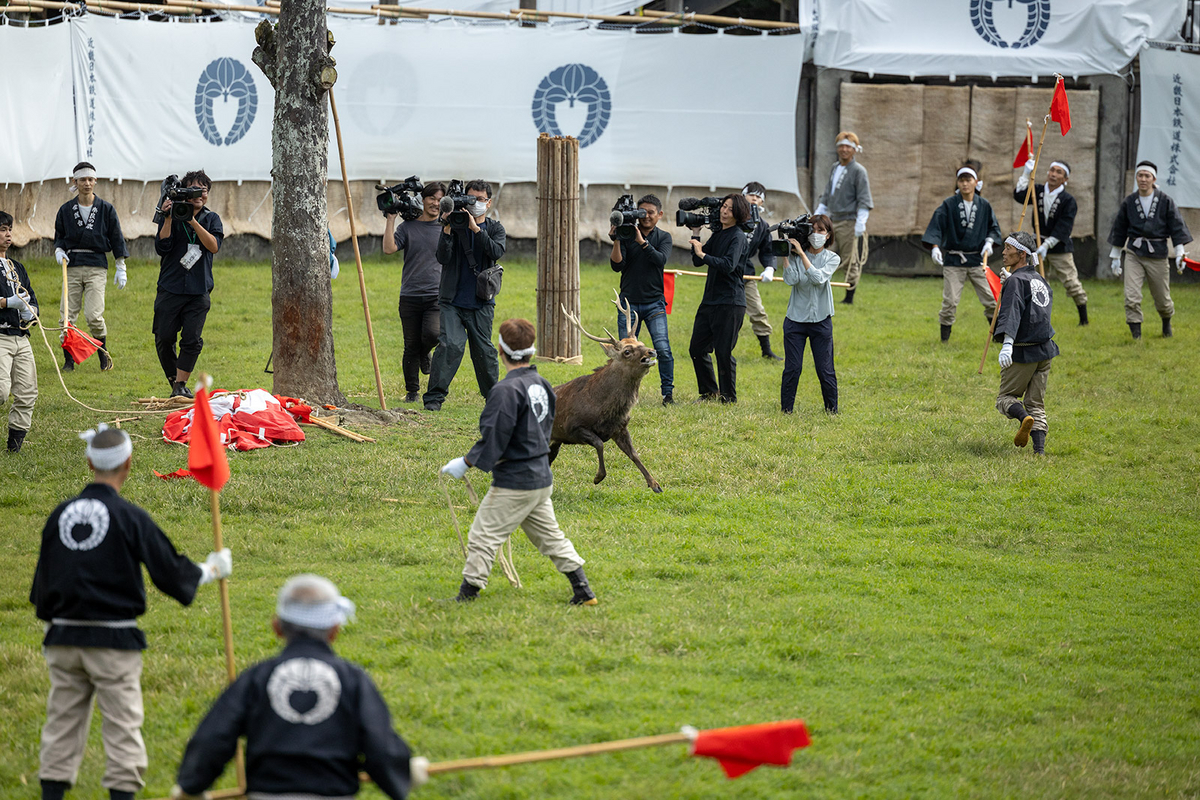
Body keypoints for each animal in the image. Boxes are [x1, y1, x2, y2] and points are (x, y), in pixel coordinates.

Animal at [552, 291, 667, 494]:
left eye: (641, 341)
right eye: (627, 351)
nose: (652, 351)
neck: (602, 408)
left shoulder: (620, 427)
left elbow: (635, 454)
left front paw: (655, 484)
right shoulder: (572, 426)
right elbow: (599, 443)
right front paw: (598, 477)